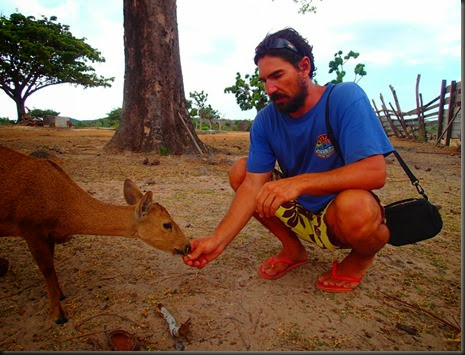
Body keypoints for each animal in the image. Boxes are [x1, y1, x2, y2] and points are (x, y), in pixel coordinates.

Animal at [0, 145, 190, 326]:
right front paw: (59, 315)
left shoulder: (47, 234)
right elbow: (47, 269)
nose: (187, 245)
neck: (64, 214)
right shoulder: (31, 228)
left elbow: (51, 267)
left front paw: (61, 295)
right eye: (167, 224)